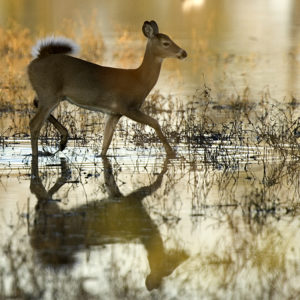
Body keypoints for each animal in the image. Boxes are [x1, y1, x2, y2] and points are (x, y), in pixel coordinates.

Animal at [28, 20, 188, 159]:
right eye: (166, 43)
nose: (183, 53)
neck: (139, 80)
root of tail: (36, 60)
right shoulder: (127, 107)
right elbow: (155, 122)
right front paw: (172, 153)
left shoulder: (114, 113)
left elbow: (106, 144)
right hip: (49, 93)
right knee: (34, 124)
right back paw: (37, 154)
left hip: (50, 94)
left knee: (35, 104)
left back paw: (63, 141)